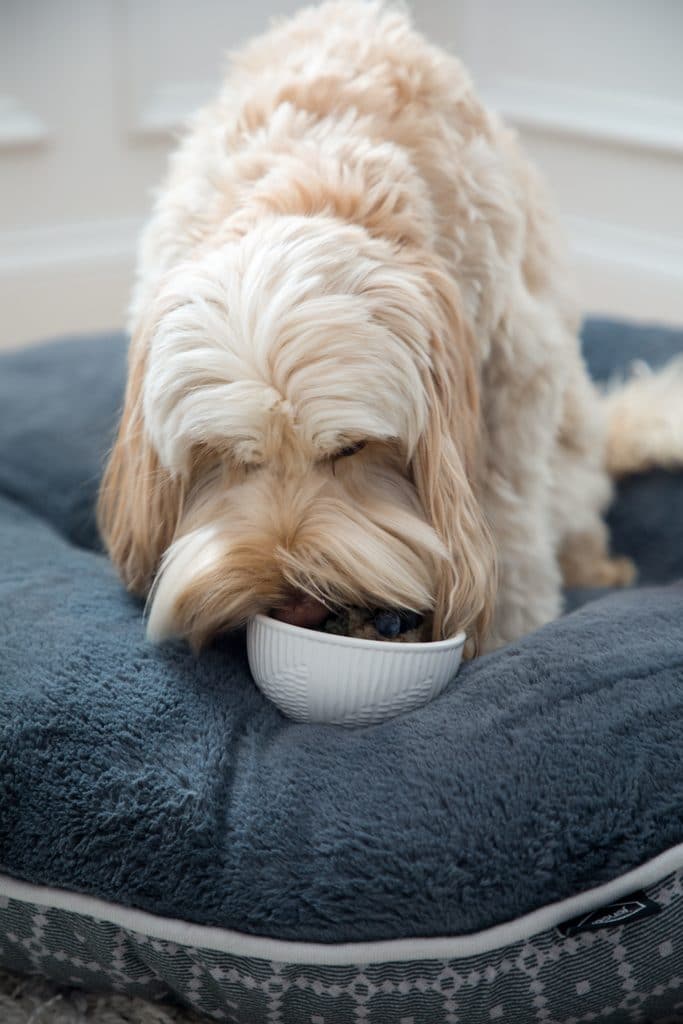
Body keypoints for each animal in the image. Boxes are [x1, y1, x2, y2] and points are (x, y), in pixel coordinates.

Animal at [98, 2, 679, 655]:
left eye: (351, 448)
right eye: (225, 455)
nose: (295, 603)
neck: (318, 169)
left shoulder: (515, 375)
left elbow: (509, 518)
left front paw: (509, 632)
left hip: (572, 453)